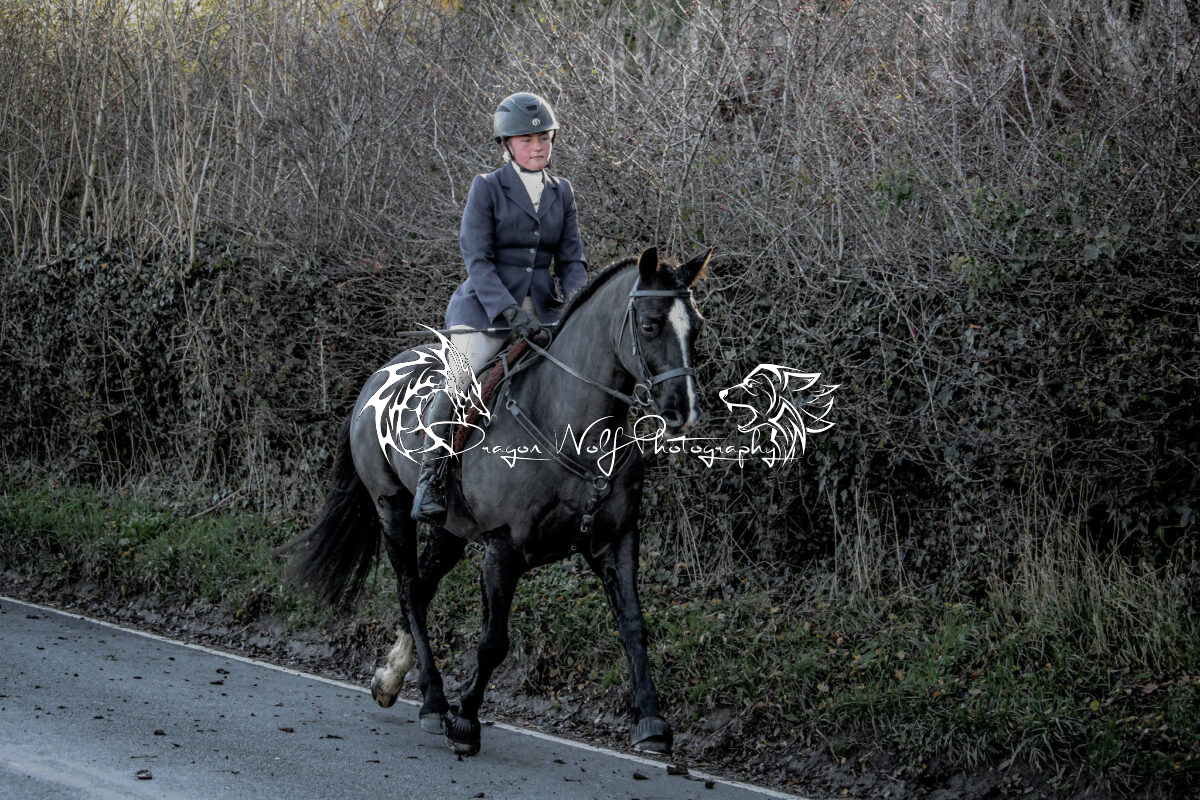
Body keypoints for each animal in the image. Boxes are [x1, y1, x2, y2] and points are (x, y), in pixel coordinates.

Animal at [286, 247, 710, 757]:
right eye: (649, 325)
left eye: (696, 326)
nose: (682, 409)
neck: (570, 427)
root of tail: (379, 374)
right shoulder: (503, 550)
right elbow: (493, 642)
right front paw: (465, 720)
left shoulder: (617, 541)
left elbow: (633, 625)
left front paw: (651, 722)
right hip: (392, 508)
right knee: (408, 589)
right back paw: (434, 703)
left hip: (449, 529)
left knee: (421, 590)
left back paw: (392, 680)